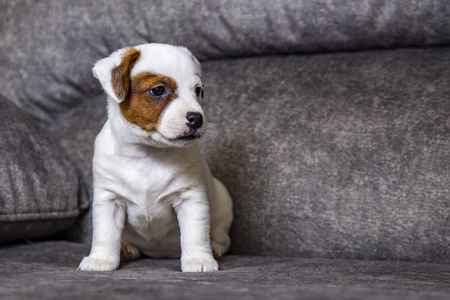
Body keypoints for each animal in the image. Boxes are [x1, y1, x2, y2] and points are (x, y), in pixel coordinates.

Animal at [78, 44, 232, 272]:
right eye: (158, 90)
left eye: (198, 91)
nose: (197, 118)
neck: (149, 153)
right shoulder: (109, 200)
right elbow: (105, 233)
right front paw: (101, 260)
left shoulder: (190, 198)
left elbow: (195, 234)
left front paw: (199, 260)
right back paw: (126, 249)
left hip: (223, 203)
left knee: (222, 236)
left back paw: (214, 248)